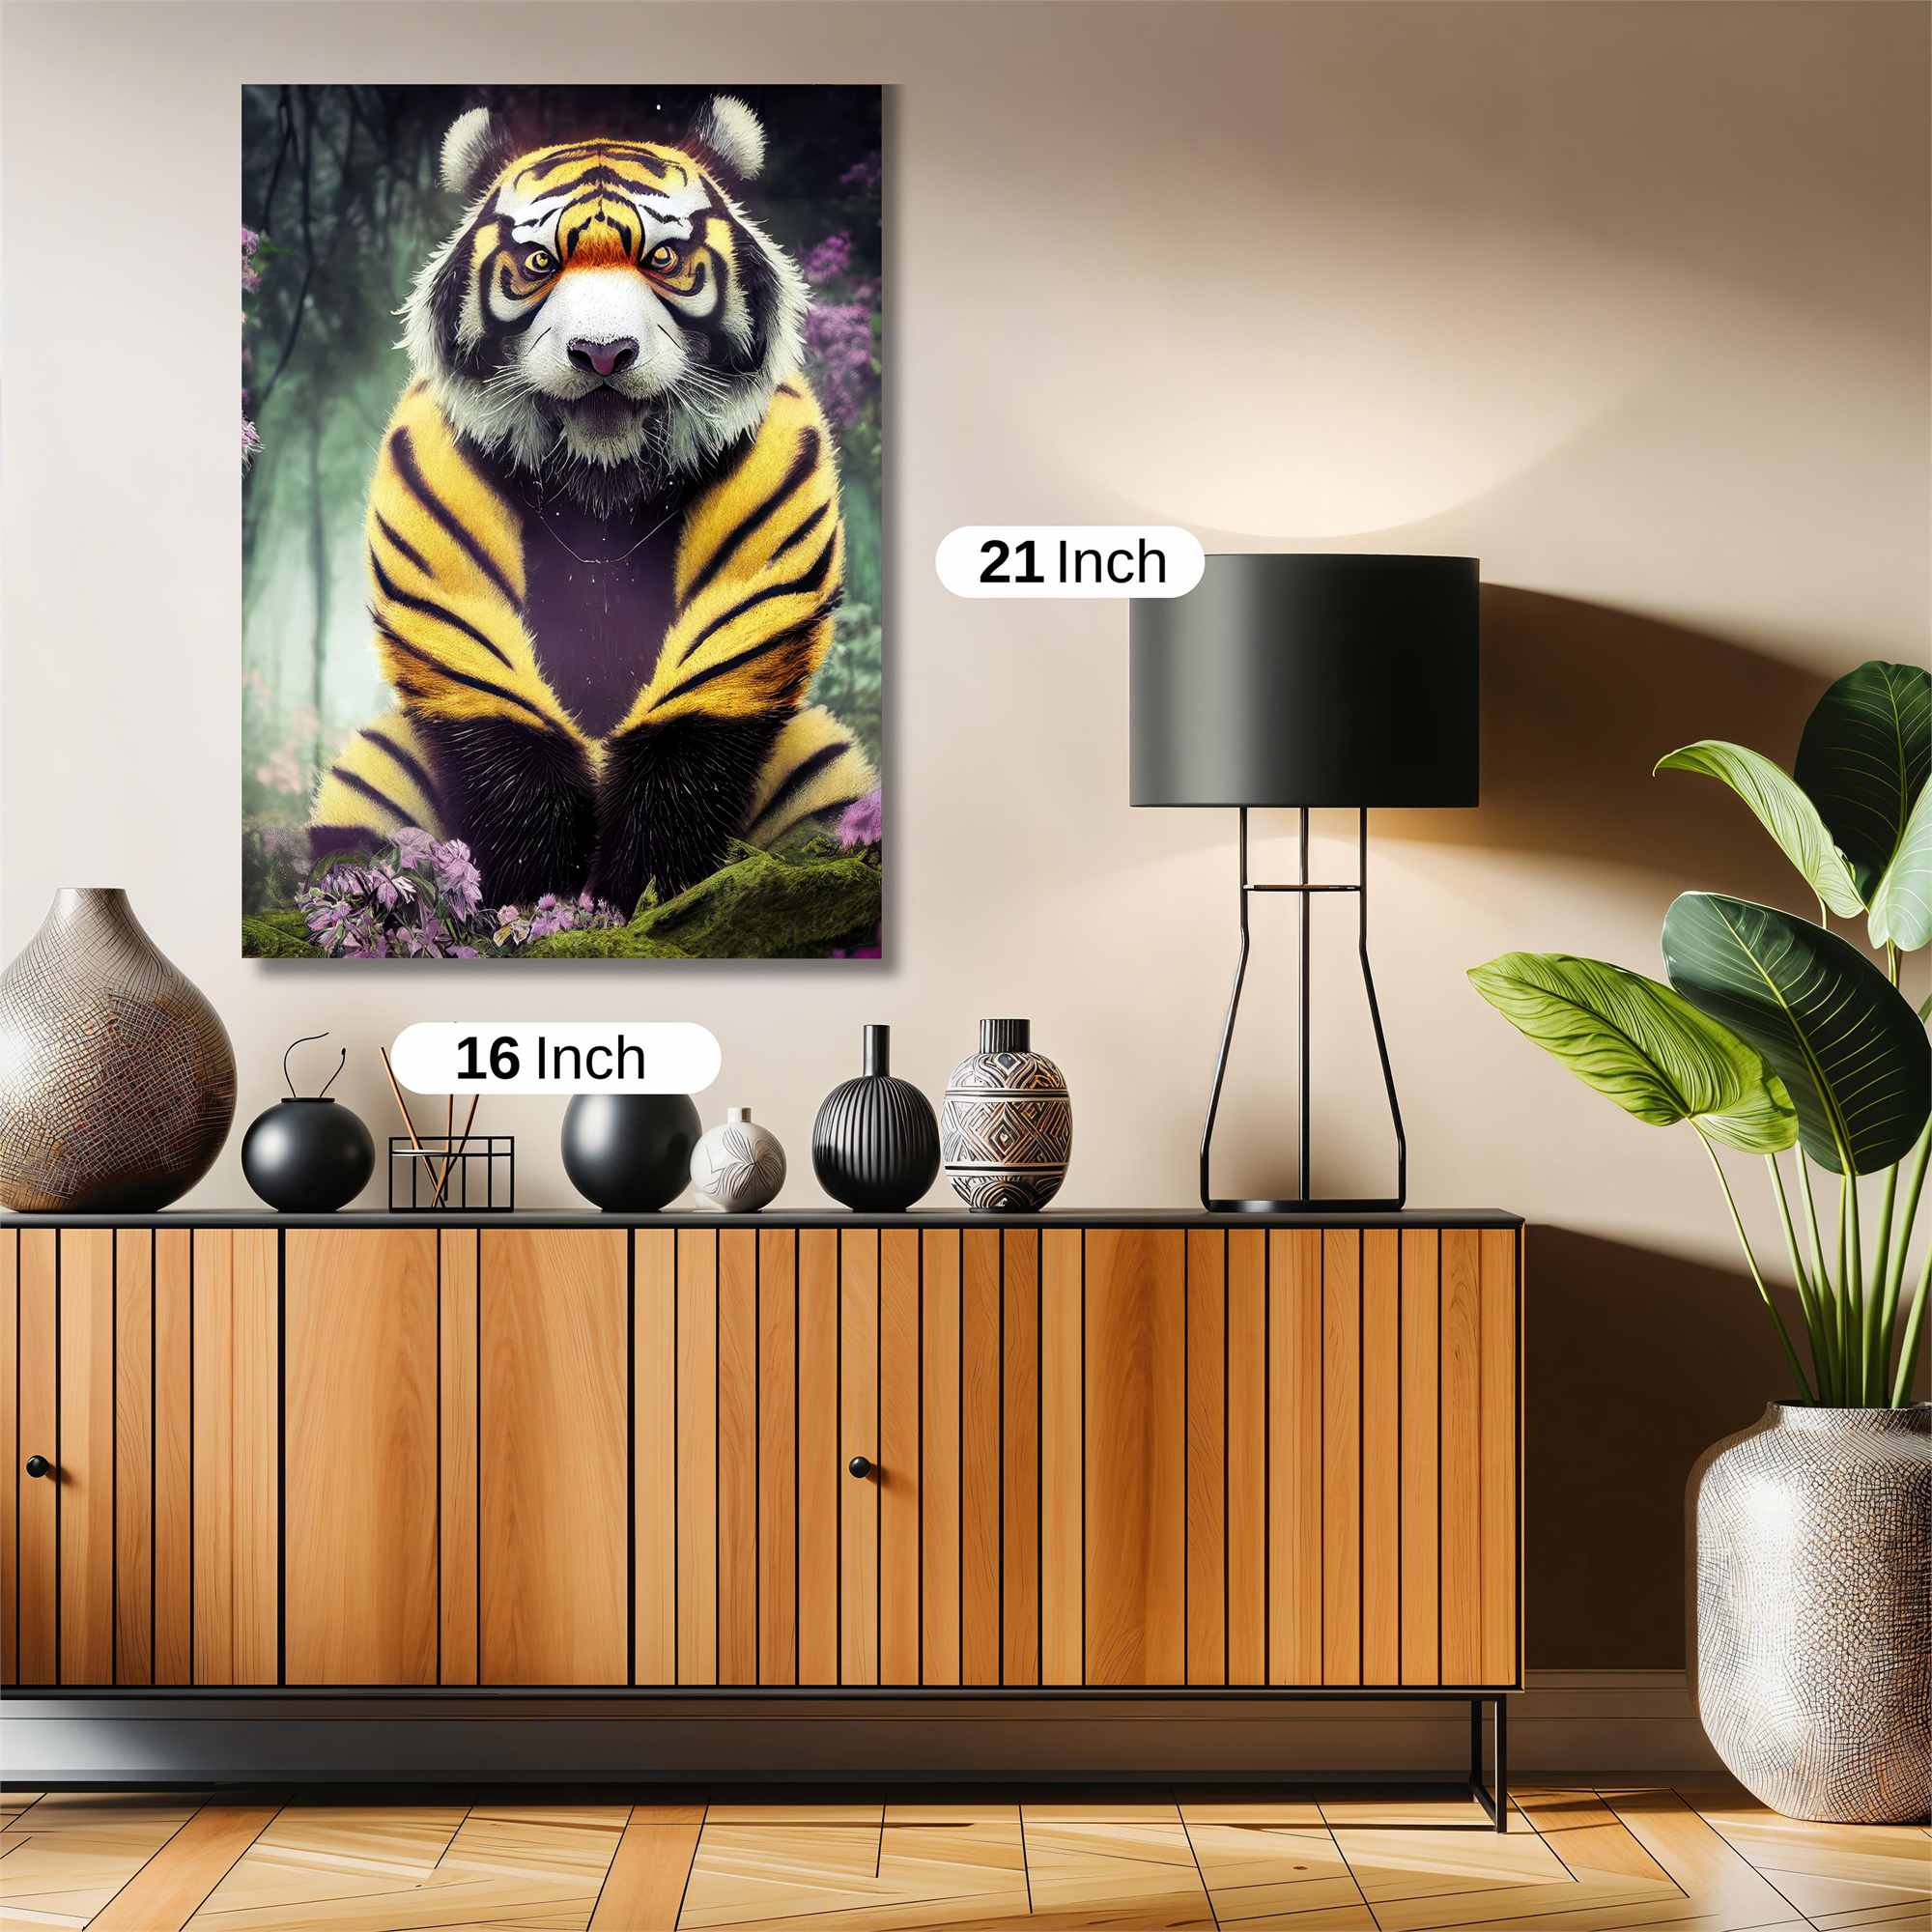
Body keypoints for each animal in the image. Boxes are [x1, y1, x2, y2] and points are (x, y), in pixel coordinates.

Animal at [308, 94, 877, 915]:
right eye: (540, 264)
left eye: (663, 260)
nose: (603, 352)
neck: (603, 481)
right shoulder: (439, 519)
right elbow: (506, 736)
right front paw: (536, 908)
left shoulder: (767, 517)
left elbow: (689, 735)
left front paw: (640, 904)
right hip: (377, 773)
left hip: (822, 768)